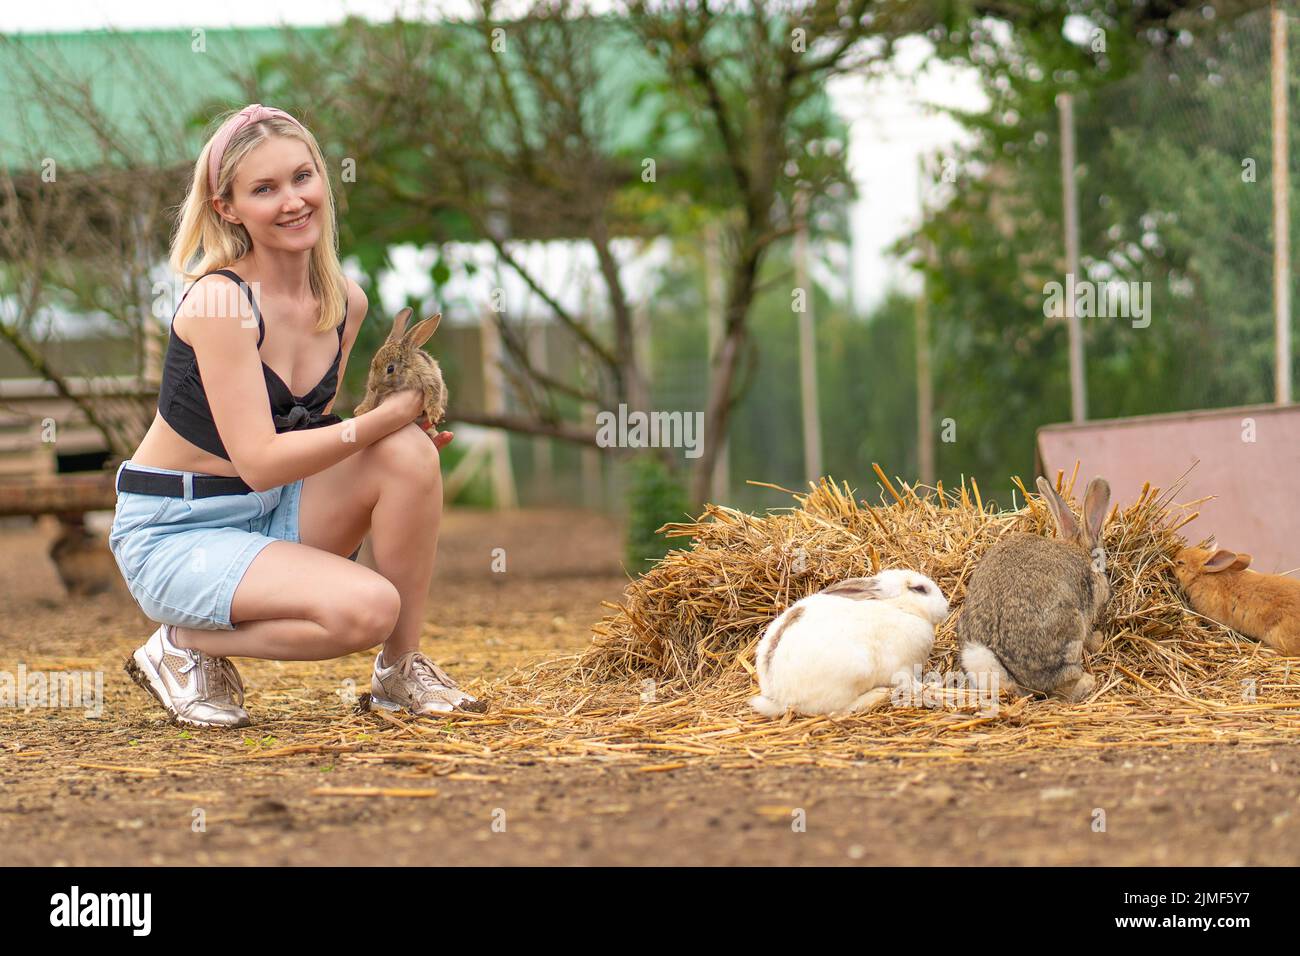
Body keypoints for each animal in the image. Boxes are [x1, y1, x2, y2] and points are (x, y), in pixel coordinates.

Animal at [748, 567, 951, 717]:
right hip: (855, 673)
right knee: (839, 711)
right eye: (919, 589)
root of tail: (779, 698)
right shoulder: (902, 668)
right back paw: (878, 694)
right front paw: (934, 686)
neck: (899, 608)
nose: (946, 606)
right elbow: (913, 684)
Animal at [961, 478, 1112, 702]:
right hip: (1070, 630)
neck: (1079, 552)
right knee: (1060, 687)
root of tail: (1010, 674)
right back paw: (1087, 682)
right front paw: (1099, 639)